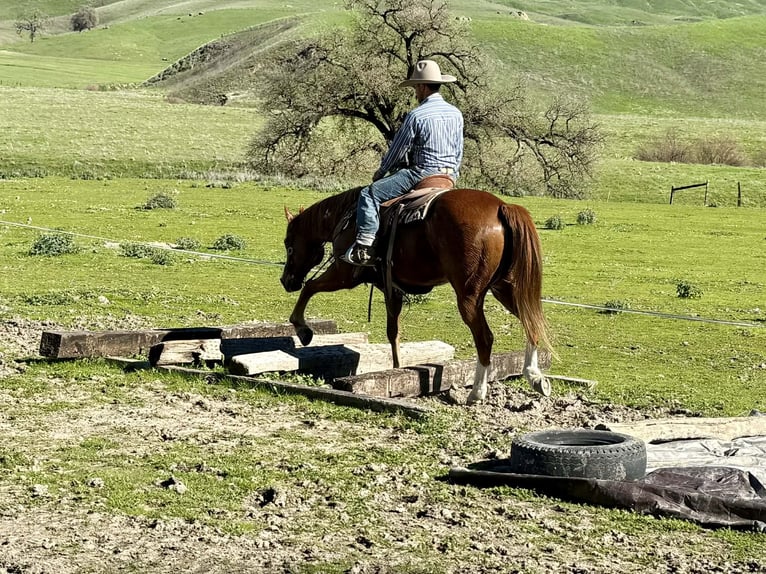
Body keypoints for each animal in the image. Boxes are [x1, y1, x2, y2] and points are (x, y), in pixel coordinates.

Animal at [280, 186, 551, 404]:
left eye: (288, 244)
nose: (286, 281)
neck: (345, 217)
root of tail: (501, 206)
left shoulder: (344, 275)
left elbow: (310, 287)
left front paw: (302, 329)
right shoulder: (392, 288)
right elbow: (393, 332)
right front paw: (397, 369)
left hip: (469, 296)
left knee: (485, 338)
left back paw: (477, 393)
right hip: (506, 289)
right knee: (532, 323)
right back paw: (535, 377)